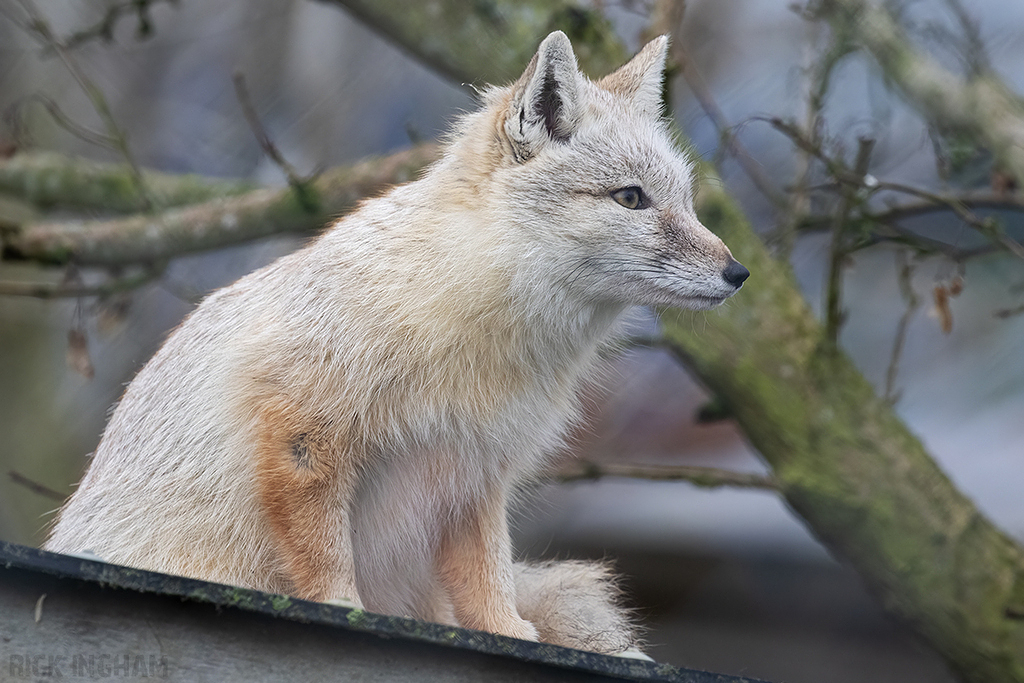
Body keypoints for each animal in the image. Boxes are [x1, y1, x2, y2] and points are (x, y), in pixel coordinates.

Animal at [46, 31, 748, 654]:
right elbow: (326, 558)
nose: (739, 273)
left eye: (688, 203)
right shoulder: (304, 428)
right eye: (631, 199)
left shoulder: (474, 469)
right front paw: (342, 611)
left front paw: (511, 634)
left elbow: (488, 581)